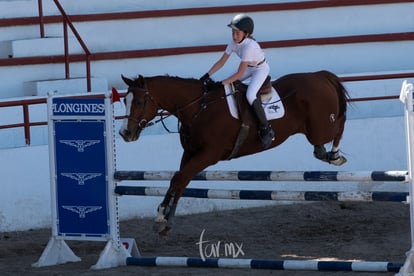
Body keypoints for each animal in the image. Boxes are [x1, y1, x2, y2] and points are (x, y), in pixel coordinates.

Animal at [119, 70, 350, 235]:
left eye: (138, 102)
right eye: (124, 101)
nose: (125, 133)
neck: (198, 108)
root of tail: (320, 75)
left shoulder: (209, 155)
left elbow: (179, 179)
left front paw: (161, 218)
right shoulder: (190, 153)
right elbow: (179, 180)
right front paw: (165, 220)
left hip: (321, 127)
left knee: (339, 125)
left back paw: (336, 156)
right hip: (316, 132)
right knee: (321, 146)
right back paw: (328, 154)